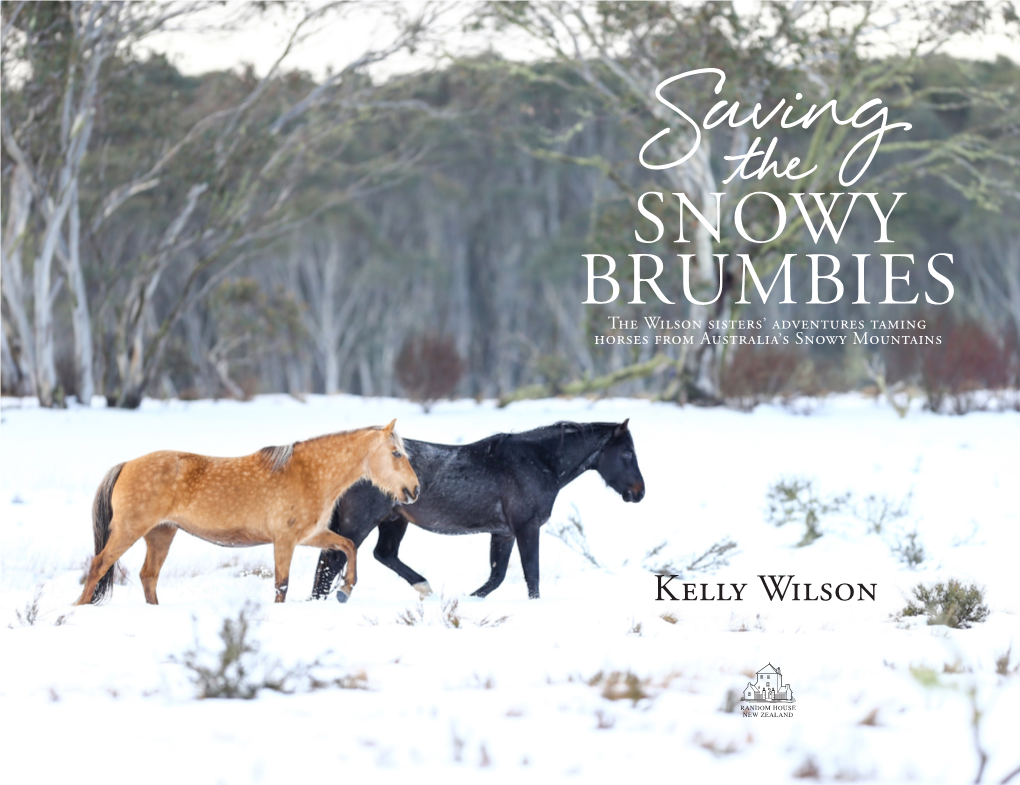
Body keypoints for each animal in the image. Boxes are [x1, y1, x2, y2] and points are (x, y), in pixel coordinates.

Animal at [74, 420, 418, 603]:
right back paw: (78, 608)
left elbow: (347, 547)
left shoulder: (311, 536)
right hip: (129, 530)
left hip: (161, 534)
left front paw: (345, 589)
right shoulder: (284, 541)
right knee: (99, 565)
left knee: (148, 576)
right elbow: (282, 584)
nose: (414, 490)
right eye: (396, 453)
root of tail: (126, 464)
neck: (309, 474)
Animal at [310, 422, 644, 599]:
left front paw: (471, 599)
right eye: (627, 453)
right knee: (334, 561)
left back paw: (423, 587)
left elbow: (497, 576)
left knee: (381, 554)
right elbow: (531, 574)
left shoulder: (504, 533)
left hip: (393, 521)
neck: (538, 462)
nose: (639, 493)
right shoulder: (527, 527)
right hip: (362, 521)